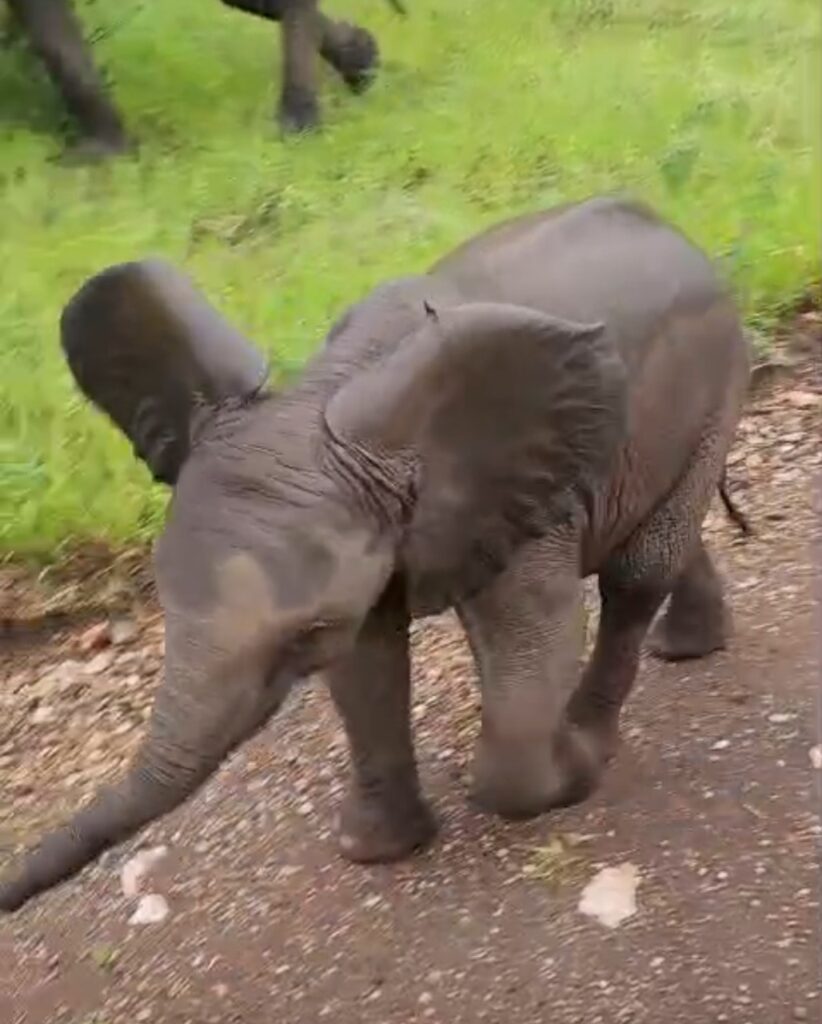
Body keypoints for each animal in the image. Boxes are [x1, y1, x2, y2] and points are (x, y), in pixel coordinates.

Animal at [0, 195, 751, 914]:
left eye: (304, 634)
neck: (329, 391)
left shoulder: (524, 494)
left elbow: (532, 638)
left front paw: (569, 772)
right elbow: (367, 664)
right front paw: (376, 852)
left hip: (720, 373)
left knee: (637, 572)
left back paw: (604, 726)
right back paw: (685, 650)